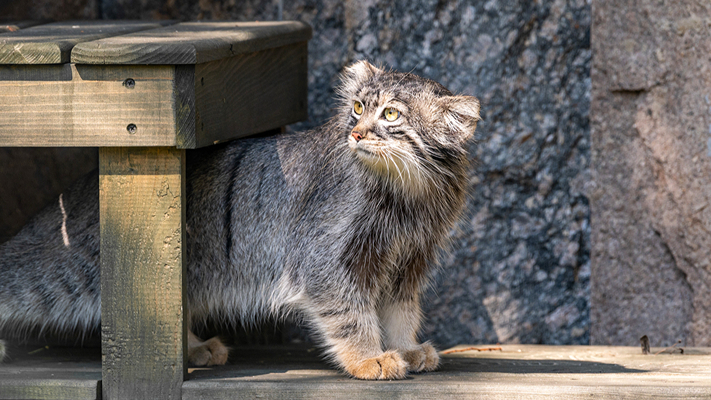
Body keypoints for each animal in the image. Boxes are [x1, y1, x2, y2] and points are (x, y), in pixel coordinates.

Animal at [0, 61, 482, 380]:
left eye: (391, 114)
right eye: (359, 108)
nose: (356, 132)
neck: (409, 193)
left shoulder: (408, 260)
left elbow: (401, 310)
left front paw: (404, 347)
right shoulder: (325, 258)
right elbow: (350, 312)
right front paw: (368, 357)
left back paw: (194, 348)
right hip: (72, 272)